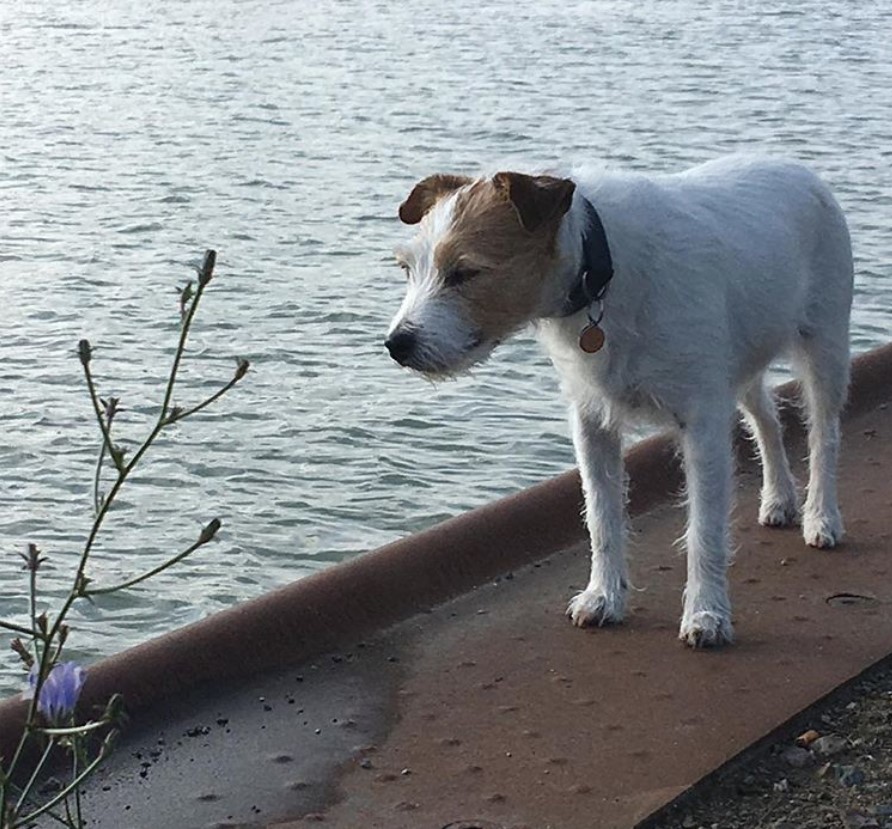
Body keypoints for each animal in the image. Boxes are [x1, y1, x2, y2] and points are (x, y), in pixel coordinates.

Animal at [386, 157, 856, 648]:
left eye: (465, 272)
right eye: (407, 269)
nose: (396, 344)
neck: (600, 273)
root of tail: (797, 168)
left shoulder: (702, 424)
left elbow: (704, 527)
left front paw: (706, 613)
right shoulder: (592, 423)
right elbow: (601, 517)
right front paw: (604, 597)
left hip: (824, 352)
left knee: (824, 438)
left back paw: (821, 517)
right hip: (742, 365)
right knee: (767, 418)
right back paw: (779, 498)